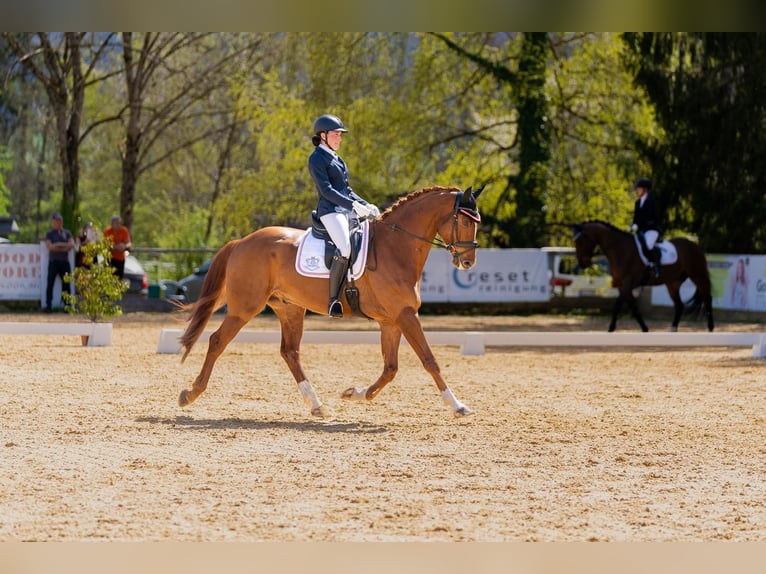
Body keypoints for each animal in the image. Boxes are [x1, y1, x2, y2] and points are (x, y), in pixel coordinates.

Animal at [177, 186, 484, 418]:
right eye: (465, 221)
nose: (468, 262)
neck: (396, 247)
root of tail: (242, 241)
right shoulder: (406, 314)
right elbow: (430, 360)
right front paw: (458, 406)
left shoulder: (392, 320)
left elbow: (390, 368)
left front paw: (355, 393)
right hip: (245, 307)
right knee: (217, 341)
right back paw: (190, 394)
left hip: (289, 308)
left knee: (290, 352)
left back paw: (317, 405)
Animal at [572, 223, 716, 336]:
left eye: (582, 240)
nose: (582, 263)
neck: (620, 249)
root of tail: (695, 245)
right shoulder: (622, 285)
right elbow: (633, 307)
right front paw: (645, 328)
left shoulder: (628, 283)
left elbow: (618, 304)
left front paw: (611, 328)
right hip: (673, 283)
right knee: (679, 305)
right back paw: (673, 329)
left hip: (697, 275)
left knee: (707, 297)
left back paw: (710, 328)